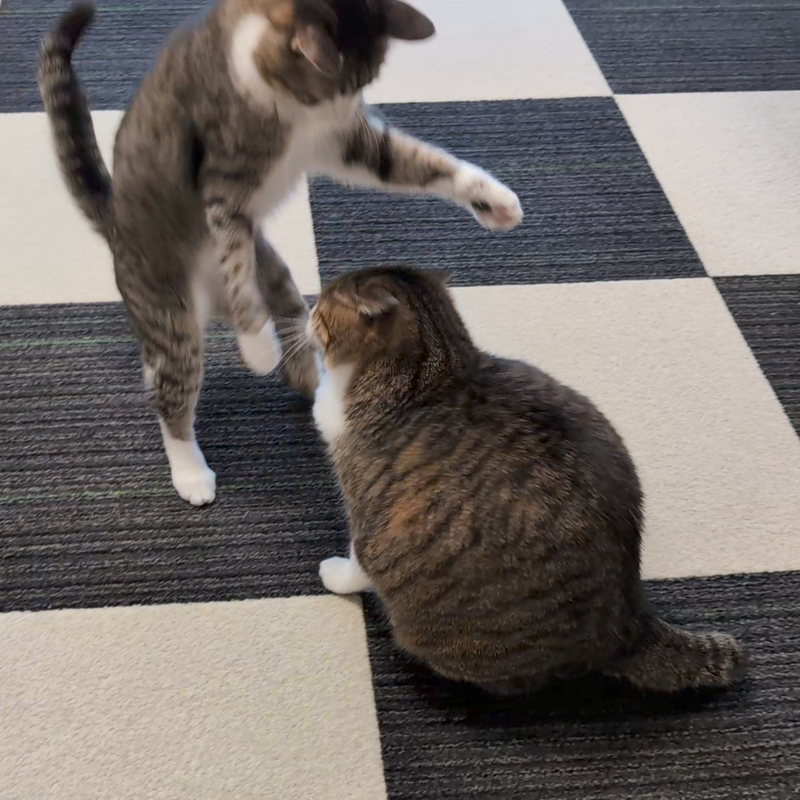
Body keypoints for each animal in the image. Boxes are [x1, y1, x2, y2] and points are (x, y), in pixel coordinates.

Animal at [37, 0, 523, 506]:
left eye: (365, 83)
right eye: (338, 86)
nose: (353, 109)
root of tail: (114, 223)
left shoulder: (341, 142)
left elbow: (405, 159)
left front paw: (492, 199)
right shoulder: (224, 183)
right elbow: (234, 258)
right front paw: (257, 347)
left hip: (275, 274)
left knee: (294, 327)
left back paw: (316, 384)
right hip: (168, 315)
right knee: (171, 392)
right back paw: (191, 470)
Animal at [310, 266, 744, 695]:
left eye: (323, 308)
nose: (308, 306)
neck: (432, 376)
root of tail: (630, 629)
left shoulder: (368, 512)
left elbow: (356, 562)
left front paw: (334, 575)